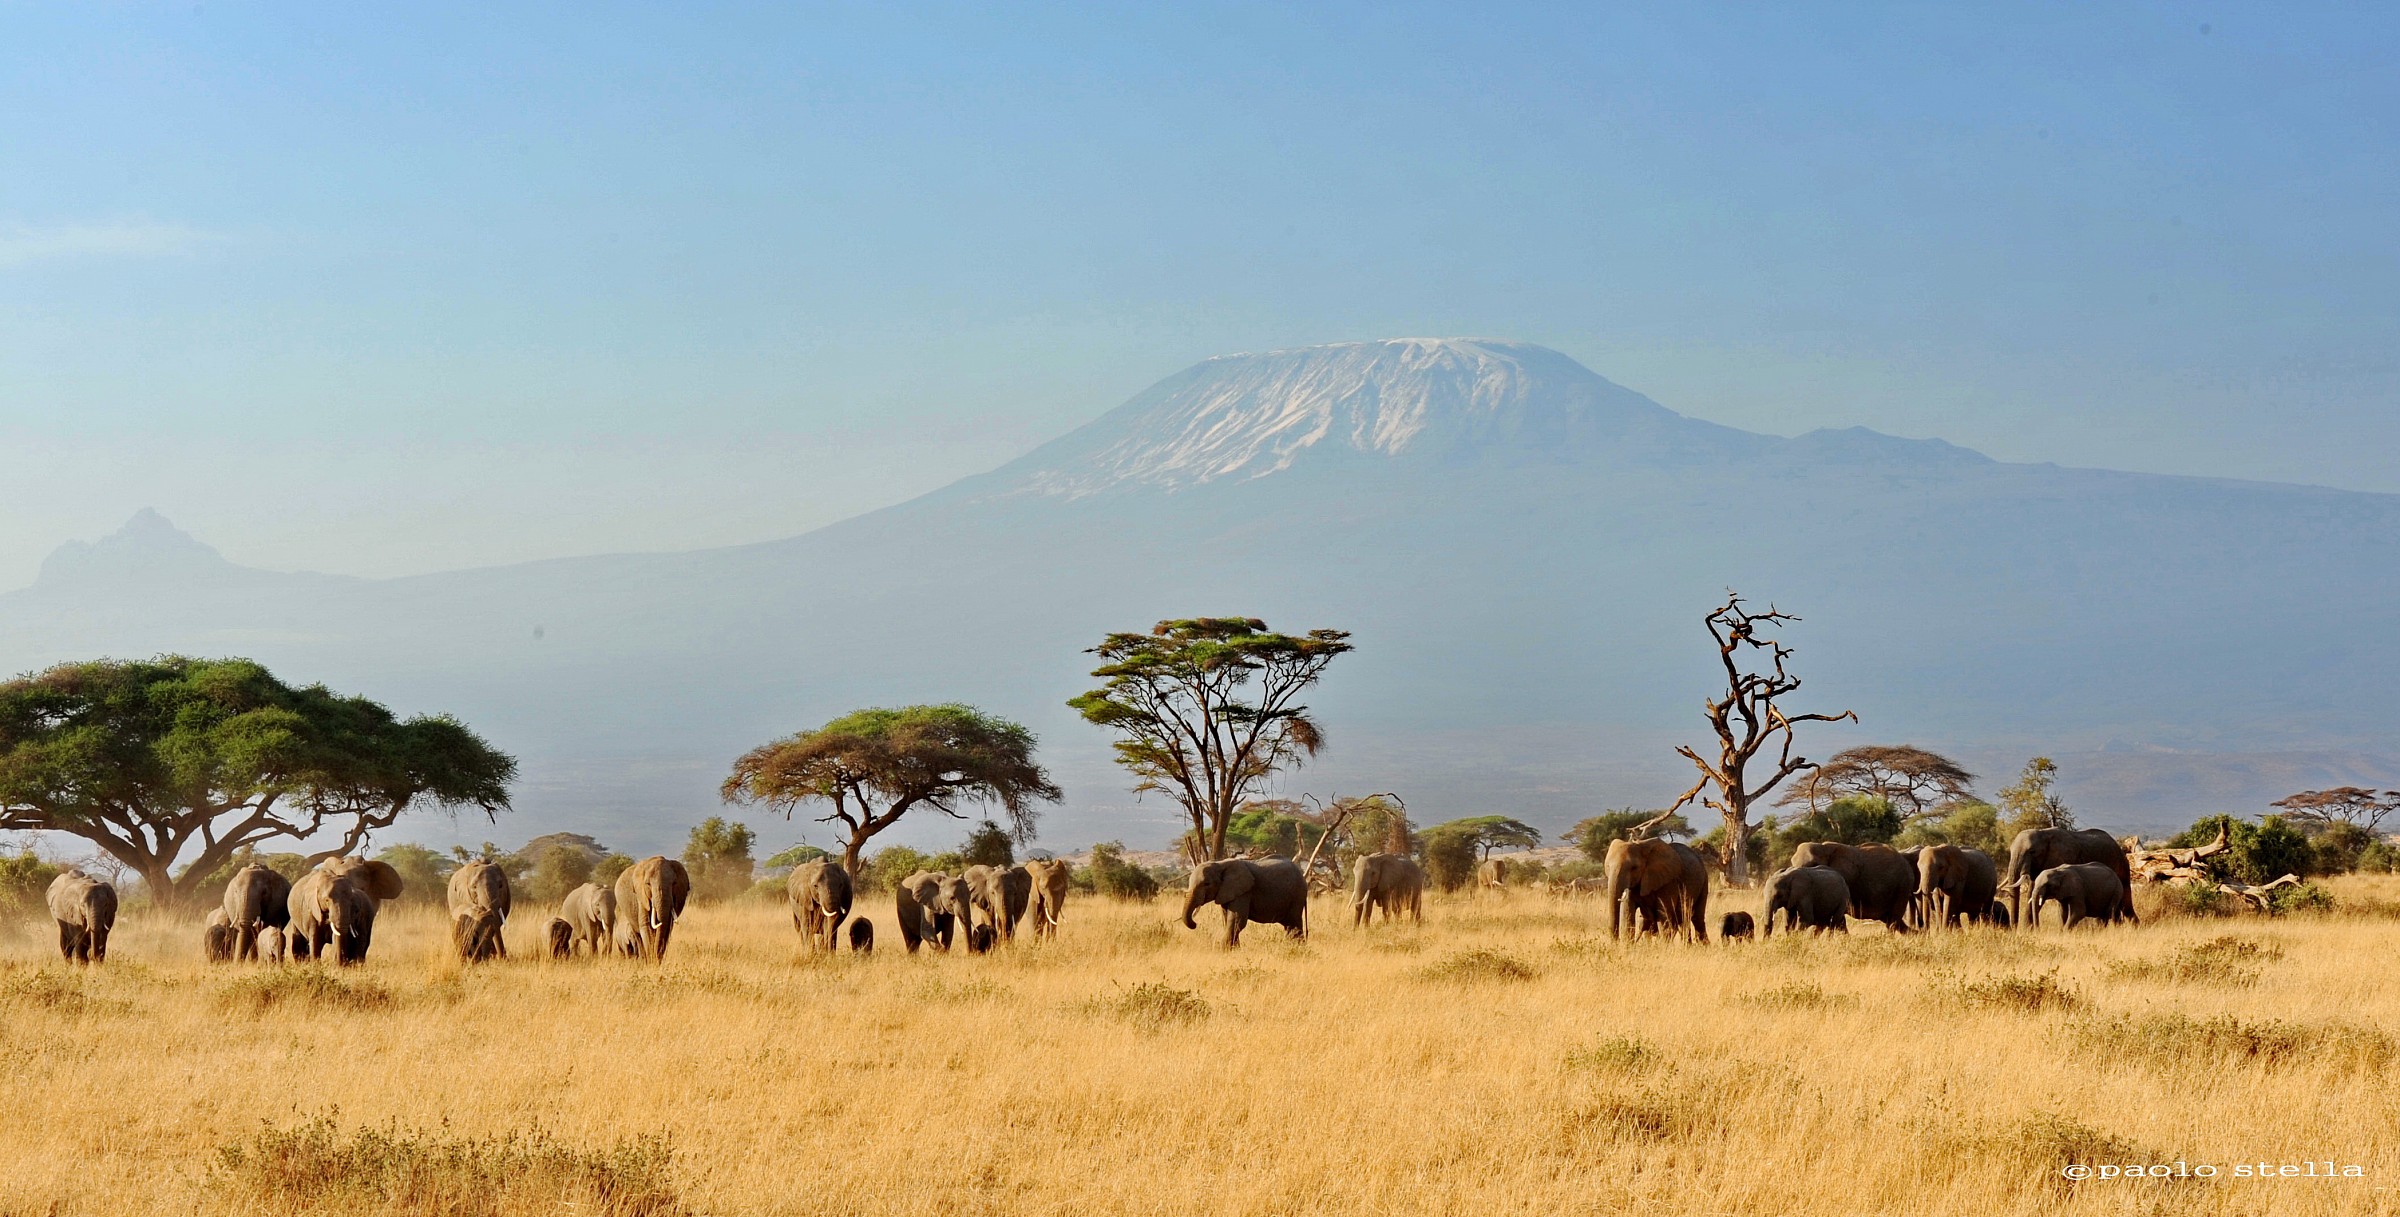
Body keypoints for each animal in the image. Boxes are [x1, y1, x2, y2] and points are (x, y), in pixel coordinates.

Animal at [2003, 828, 2135, 927]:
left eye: (2032, 852)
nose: (2013, 928)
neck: (2043, 833)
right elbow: (2032, 893)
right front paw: (2027, 930)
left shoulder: (2064, 858)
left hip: (2121, 866)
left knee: (2125, 901)